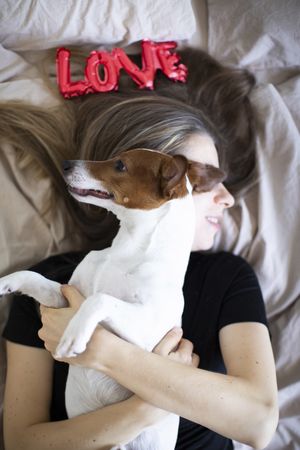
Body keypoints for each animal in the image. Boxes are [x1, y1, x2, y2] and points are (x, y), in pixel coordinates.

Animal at [0, 149, 225, 450]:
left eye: (120, 165)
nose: (65, 164)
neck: (126, 250)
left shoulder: (146, 334)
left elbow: (100, 299)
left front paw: (74, 336)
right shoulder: (66, 297)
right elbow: (33, 277)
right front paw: (5, 282)